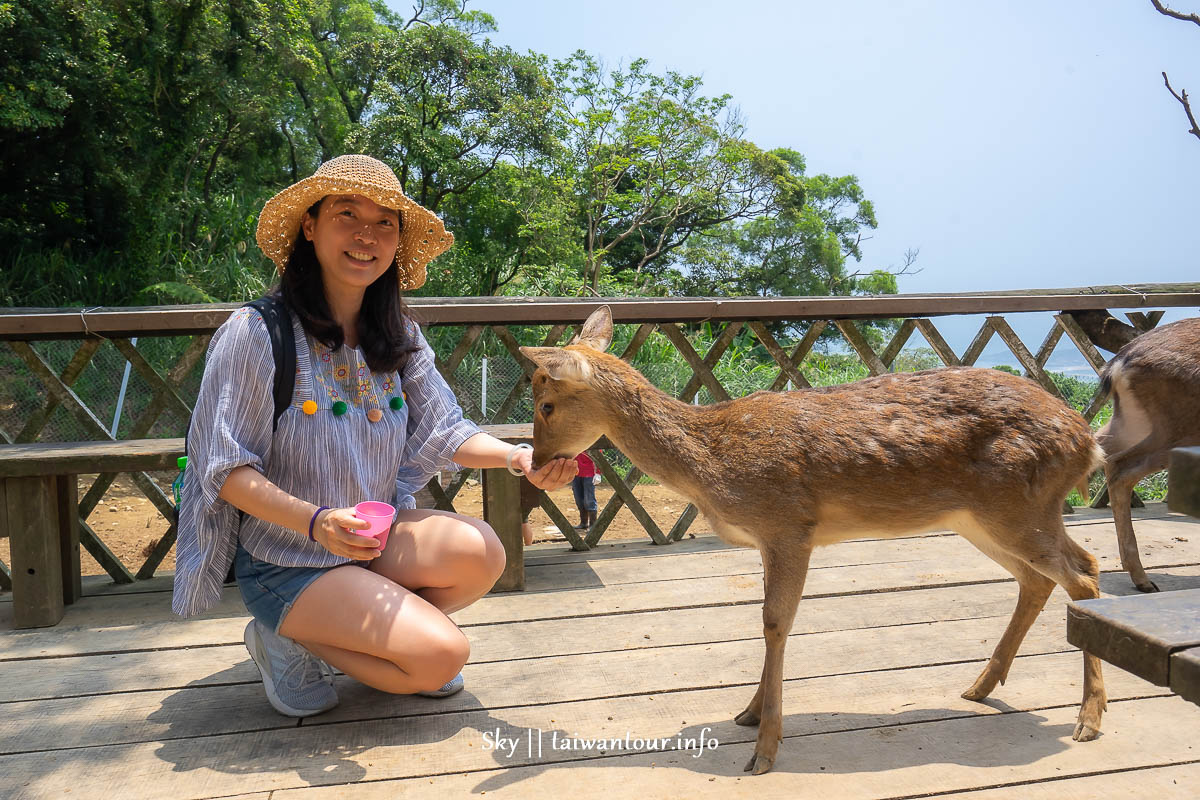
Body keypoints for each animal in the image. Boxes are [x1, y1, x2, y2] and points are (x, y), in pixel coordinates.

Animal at [520, 307, 1108, 777]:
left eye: (546, 404)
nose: (536, 461)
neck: (713, 460)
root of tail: (1087, 442)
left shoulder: (788, 524)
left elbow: (775, 622)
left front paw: (763, 749)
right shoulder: (768, 537)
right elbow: (767, 619)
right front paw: (749, 713)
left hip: (1020, 507)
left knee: (1085, 571)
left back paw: (1088, 719)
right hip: (980, 518)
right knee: (1040, 578)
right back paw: (981, 686)